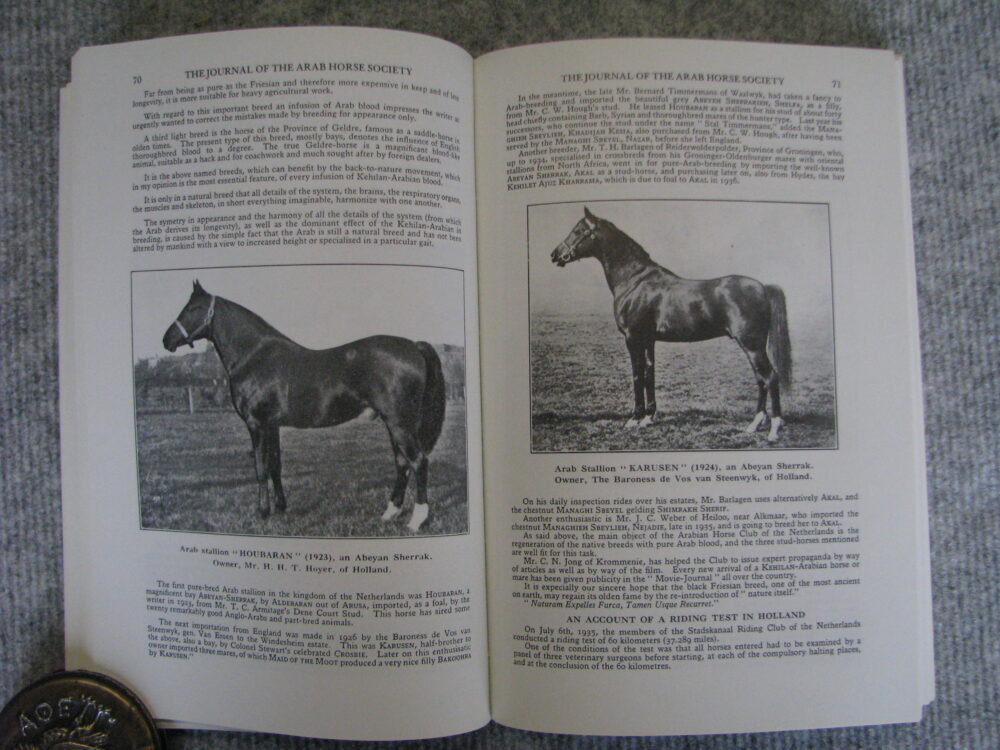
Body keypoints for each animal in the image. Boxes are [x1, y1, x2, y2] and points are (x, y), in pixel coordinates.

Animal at [162, 280, 446, 531]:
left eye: (193, 308)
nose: (167, 340)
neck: (254, 356)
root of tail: (414, 346)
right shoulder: (271, 425)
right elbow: (275, 466)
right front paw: (280, 507)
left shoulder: (256, 423)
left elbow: (261, 468)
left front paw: (263, 512)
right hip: (394, 423)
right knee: (401, 462)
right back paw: (390, 512)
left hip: (400, 423)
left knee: (418, 461)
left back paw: (416, 520)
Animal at [550, 207, 792, 442]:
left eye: (579, 231)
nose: (555, 254)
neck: (634, 281)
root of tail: (762, 287)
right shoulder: (648, 339)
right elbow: (649, 373)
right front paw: (648, 418)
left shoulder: (632, 337)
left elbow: (637, 374)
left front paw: (634, 419)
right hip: (753, 347)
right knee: (760, 379)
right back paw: (754, 424)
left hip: (752, 345)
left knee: (770, 377)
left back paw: (774, 429)